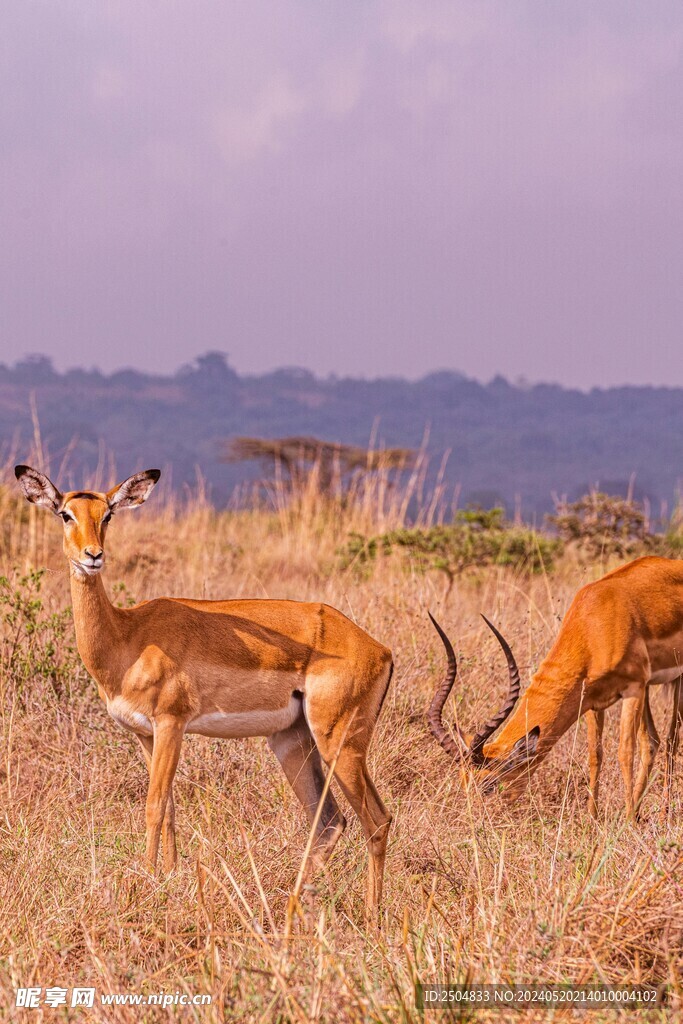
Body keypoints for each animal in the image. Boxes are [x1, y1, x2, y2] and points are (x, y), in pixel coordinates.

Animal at [15, 465, 393, 920]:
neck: (128, 637)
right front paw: (168, 879)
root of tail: (378, 648)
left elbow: (153, 806)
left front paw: (147, 883)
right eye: (65, 514)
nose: (93, 556)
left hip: (339, 742)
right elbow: (170, 808)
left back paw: (372, 916)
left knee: (377, 820)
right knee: (330, 822)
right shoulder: (146, 734)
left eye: (107, 515)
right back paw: (292, 905)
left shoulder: (171, 723)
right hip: (292, 742)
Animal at [428, 556, 683, 819]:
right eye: (463, 782)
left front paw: (629, 820)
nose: (476, 819)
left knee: (671, 740)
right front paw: (592, 818)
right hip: (649, 689)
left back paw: (661, 814)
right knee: (652, 741)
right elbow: (595, 754)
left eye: (488, 784)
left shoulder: (633, 689)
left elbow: (624, 752)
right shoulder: (591, 700)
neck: (595, 624)